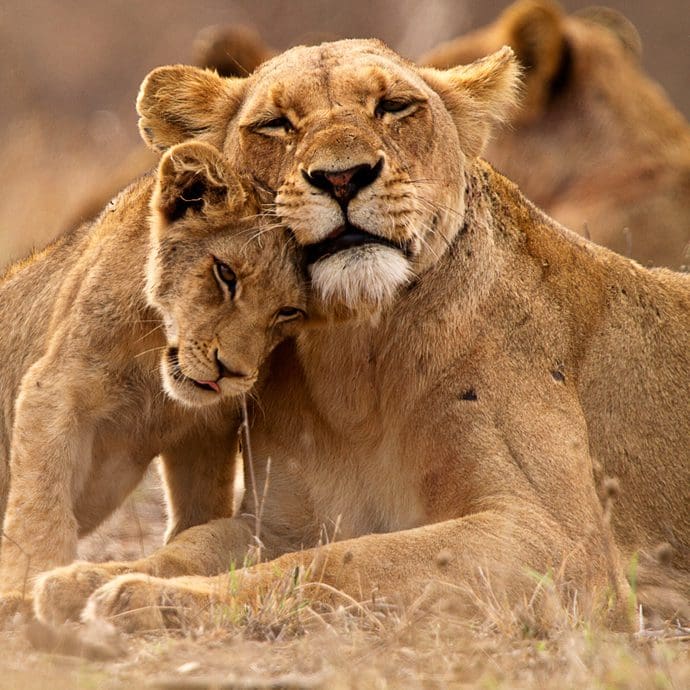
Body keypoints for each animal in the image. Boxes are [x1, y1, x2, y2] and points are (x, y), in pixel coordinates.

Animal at [0, 140, 307, 618]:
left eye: (288, 311)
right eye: (225, 273)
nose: (231, 372)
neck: (154, 355)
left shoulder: (206, 430)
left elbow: (202, 510)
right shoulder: (54, 389)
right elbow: (40, 504)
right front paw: (24, 587)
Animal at [33, 39, 689, 633]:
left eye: (394, 106)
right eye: (276, 124)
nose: (343, 177)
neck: (355, 360)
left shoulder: (560, 542)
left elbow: (341, 562)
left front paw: (147, 599)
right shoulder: (280, 522)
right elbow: (193, 544)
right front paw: (82, 579)